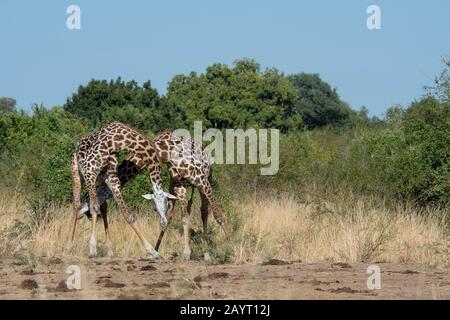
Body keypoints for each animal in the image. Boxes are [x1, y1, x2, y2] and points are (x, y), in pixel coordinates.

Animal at [67, 121, 175, 258]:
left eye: (167, 205)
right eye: (155, 208)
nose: (164, 223)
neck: (117, 140)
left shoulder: (112, 178)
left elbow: (128, 215)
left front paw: (153, 252)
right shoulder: (89, 171)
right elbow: (94, 206)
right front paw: (92, 249)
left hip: (99, 179)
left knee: (102, 206)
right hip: (76, 171)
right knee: (77, 203)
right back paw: (68, 246)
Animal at [79, 129, 227, 260]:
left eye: (87, 197)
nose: (81, 213)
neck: (168, 153)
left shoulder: (202, 180)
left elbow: (219, 216)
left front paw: (229, 241)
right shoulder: (179, 187)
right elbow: (184, 218)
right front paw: (185, 253)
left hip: (206, 180)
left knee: (204, 211)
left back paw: (207, 254)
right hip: (175, 187)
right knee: (175, 214)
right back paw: (158, 249)